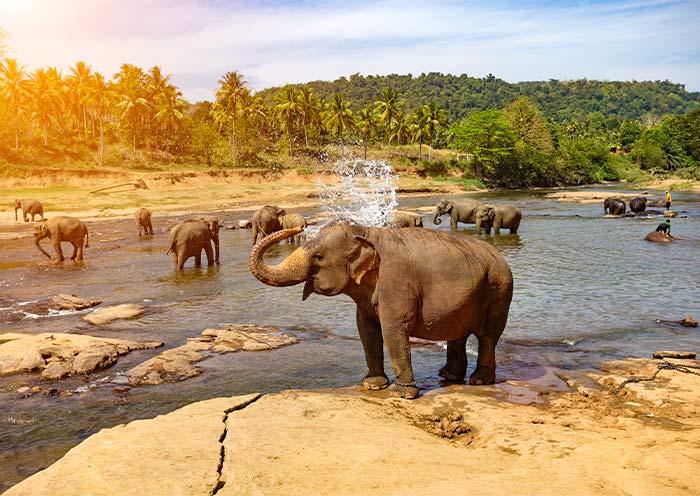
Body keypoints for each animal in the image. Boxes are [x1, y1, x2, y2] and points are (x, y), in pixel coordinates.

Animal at [249, 220, 514, 399]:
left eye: (318, 257)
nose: (298, 227)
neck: (366, 231)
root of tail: (499, 256)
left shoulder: (396, 282)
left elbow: (393, 329)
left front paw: (401, 394)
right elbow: (366, 330)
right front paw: (373, 385)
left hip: (499, 290)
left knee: (488, 336)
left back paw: (478, 381)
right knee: (458, 333)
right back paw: (448, 376)